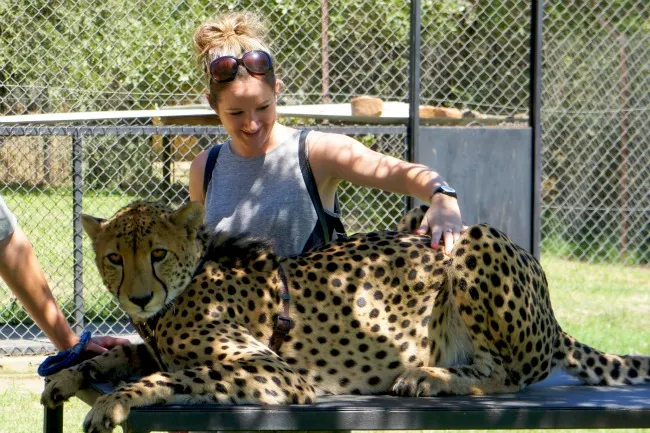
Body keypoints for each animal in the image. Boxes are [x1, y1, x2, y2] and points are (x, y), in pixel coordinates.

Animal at [41, 202, 648, 432]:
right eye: (114, 259)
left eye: (158, 253)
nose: (140, 299)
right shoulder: (150, 342)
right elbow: (123, 354)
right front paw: (72, 373)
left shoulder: (278, 373)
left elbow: (175, 375)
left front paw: (117, 400)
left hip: (473, 240)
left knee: (511, 377)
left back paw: (431, 375)